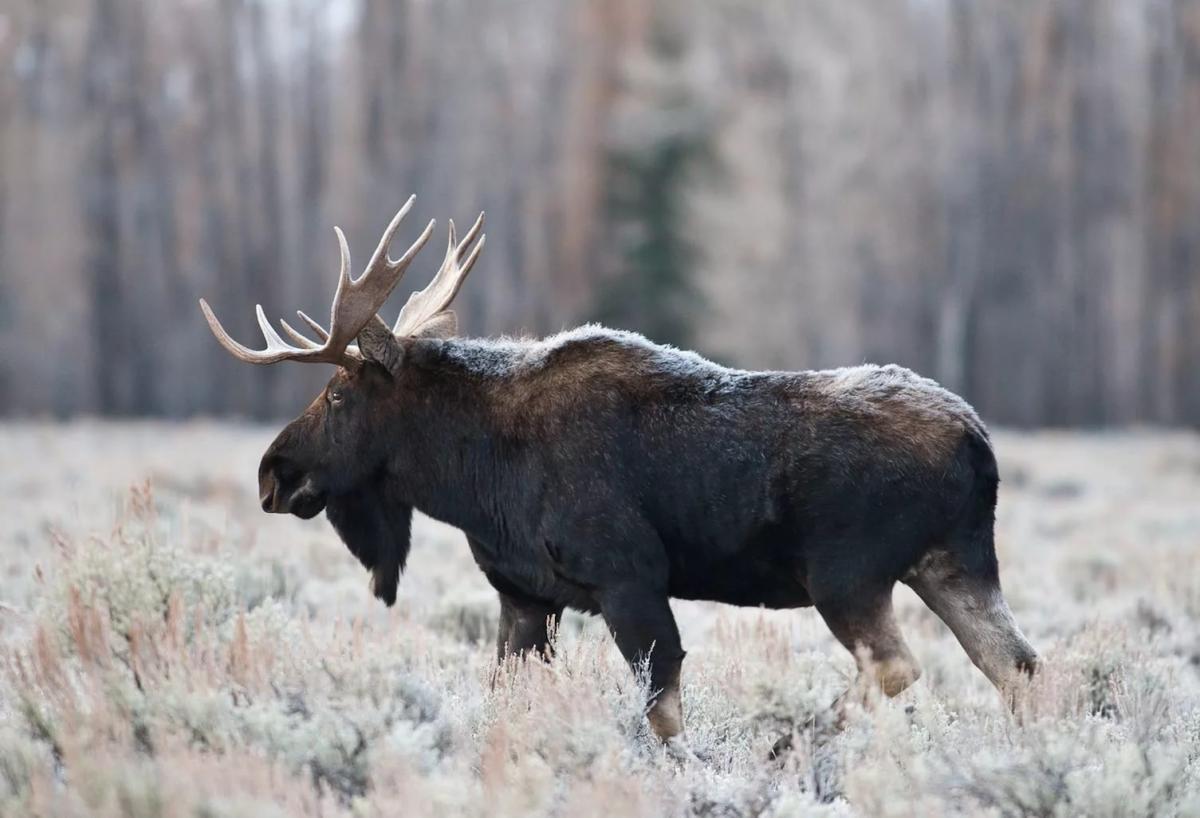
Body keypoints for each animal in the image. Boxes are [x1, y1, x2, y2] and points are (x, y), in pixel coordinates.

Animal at [201, 195, 1036, 738]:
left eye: (339, 392)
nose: (272, 472)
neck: (475, 477)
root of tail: (979, 442)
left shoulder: (628, 579)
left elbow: (662, 713)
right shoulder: (525, 596)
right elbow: (507, 698)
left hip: (847, 575)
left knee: (899, 668)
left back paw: (794, 740)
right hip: (953, 565)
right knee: (1017, 664)